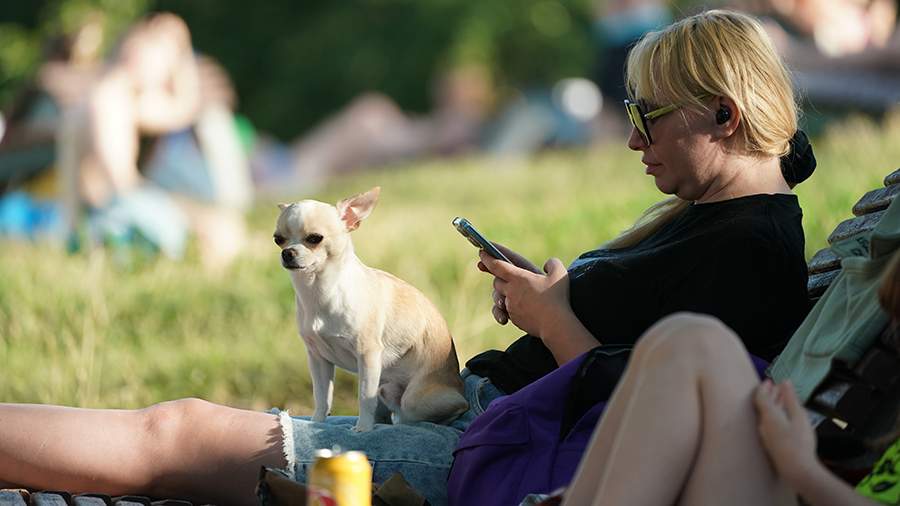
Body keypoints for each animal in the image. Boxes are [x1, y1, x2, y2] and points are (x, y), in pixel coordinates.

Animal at [274, 186, 468, 430]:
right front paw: (316, 422)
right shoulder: (318, 359)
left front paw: (363, 429)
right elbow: (321, 396)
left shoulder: (368, 355)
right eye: (278, 239)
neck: (320, 290)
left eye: (314, 239)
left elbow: (365, 398)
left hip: (416, 399)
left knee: (438, 408)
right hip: (385, 387)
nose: (287, 252)